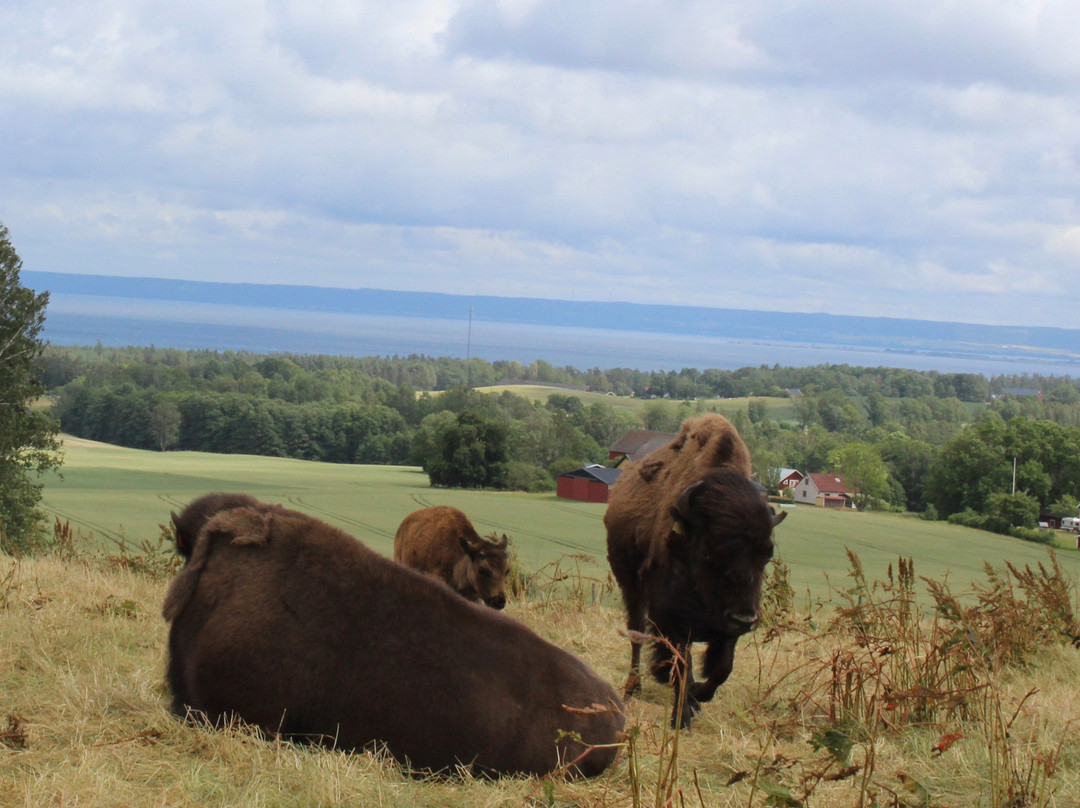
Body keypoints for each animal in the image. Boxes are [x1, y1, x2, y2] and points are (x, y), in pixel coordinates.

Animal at [609, 412, 786, 730]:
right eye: (709, 552)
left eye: (767, 555)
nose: (745, 618)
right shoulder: (672, 620)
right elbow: (684, 665)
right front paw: (682, 716)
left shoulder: (727, 630)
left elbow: (720, 670)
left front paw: (697, 698)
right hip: (631, 590)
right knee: (636, 635)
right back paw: (633, 686)